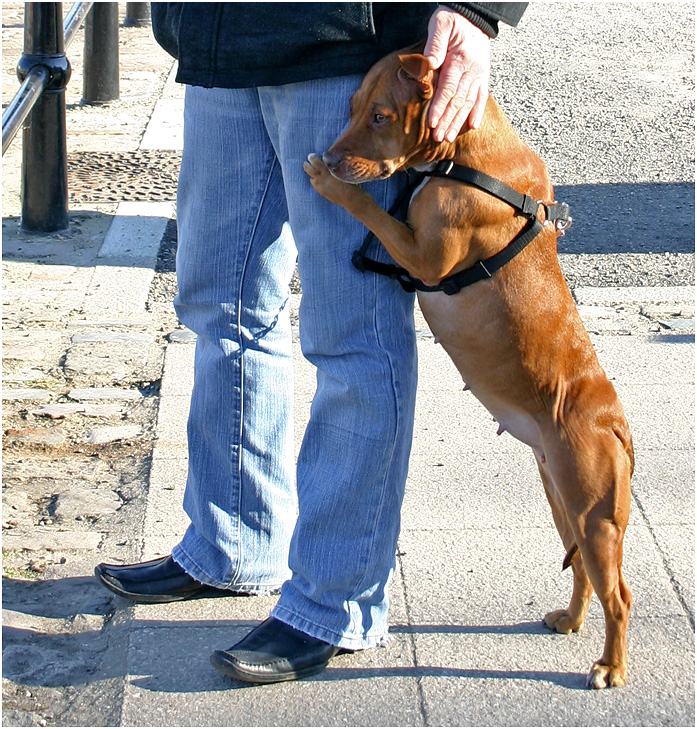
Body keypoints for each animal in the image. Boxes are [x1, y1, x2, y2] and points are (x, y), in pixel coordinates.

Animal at [302, 48, 632, 684]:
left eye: (381, 116)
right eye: (352, 107)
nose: (330, 157)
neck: (467, 158)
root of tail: (616, 422)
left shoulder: (426, 259)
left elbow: (372, 211)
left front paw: (330, 184)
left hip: (597, 513)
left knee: (620, 595)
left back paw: (609, 666)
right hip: (563, 501)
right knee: (583, 569)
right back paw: (571, 620)